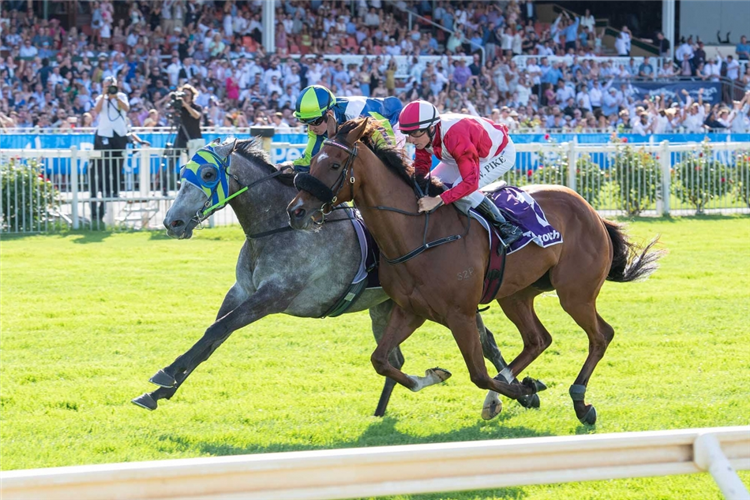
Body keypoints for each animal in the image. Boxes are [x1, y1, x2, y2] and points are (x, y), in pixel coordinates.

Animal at [132, 138, 532, 418]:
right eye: (182, 173)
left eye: (208, 175)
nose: (173, 222)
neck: (275, 228)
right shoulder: (242, 291)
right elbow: (211, 338)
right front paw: (158, 392)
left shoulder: (274, 296)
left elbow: (218, 330)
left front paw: (164, 376)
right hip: (384, 308)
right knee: (396, 357)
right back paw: (383, 410)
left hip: (446, 304)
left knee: (487, 342)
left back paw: (511, 395)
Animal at [288, 119, 664, 424]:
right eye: (313, 159)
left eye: (334, 164)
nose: (296, 210)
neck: (419, 234)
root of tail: (592, 211)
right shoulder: (410, 311)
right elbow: (380, 359)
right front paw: (435, 376)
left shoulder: (461, 315)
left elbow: (478, 373)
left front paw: (525, 392)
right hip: (516, 294)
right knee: (538, 339)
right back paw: (505, 395)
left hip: (576, 293)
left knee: (601, 335)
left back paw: (580, 402)